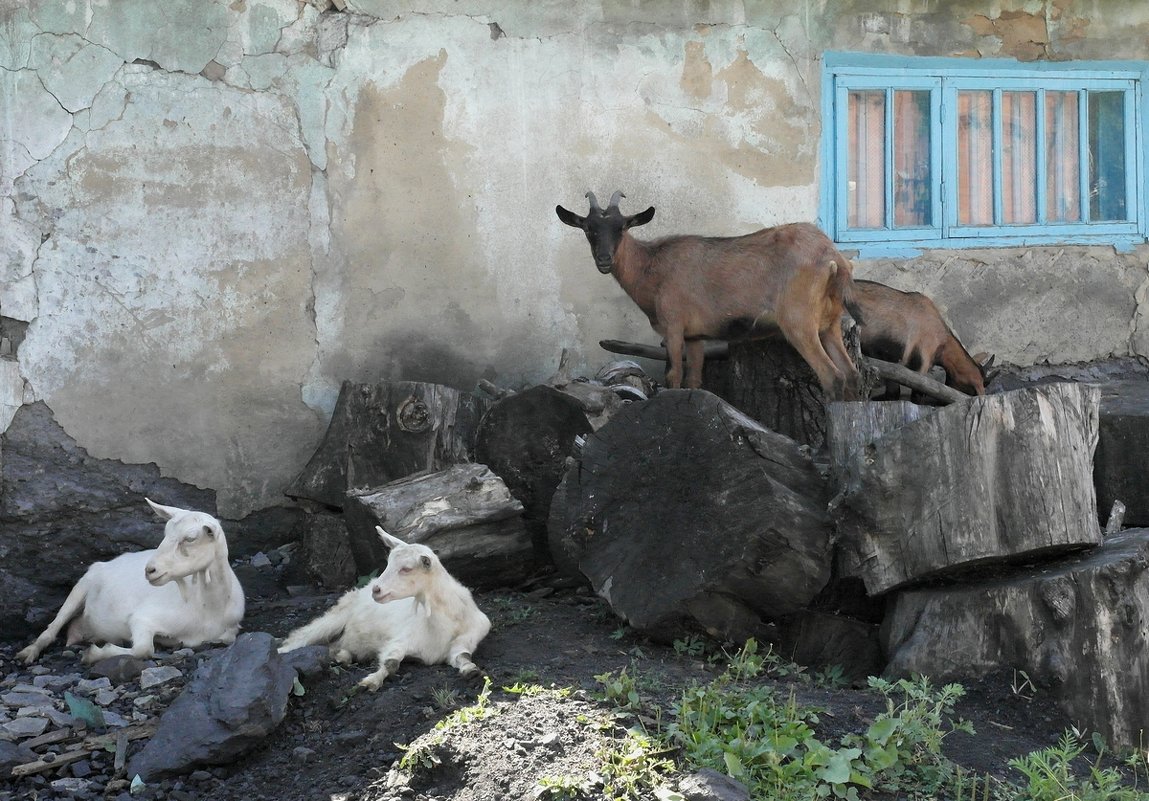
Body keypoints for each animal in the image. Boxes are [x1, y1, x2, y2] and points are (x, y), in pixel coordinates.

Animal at [16, 501, 245, 661]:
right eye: (165, 533)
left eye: (190, 538)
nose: (150, 570)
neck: (208, 608)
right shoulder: (143, 618)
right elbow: (144, 649)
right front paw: (93, 655)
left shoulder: (231, 629)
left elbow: (226, 638)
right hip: (81, 586)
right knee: (54, 626)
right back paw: (28, 653)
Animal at [282, 524, 494, 689]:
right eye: (388, 563)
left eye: (406, 569)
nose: (376, 589)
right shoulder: (401, 639)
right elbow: (391, 662)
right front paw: (371, 682)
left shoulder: (467, 638)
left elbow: (463, 656)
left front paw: (472, 671)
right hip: (335, 617)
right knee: (299, 637)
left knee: (335, 646)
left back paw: (342, 656)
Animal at [553, 188, 864, 399]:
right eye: (589, 229)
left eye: (621, 227)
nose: (604, 260)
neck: (652, 267)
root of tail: (834, 258)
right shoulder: (695, 336)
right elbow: (694, 380)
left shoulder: (673, 326)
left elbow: (673, 375)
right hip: (830, 324)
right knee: (851, 374)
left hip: (799, 322)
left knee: (833, 376)